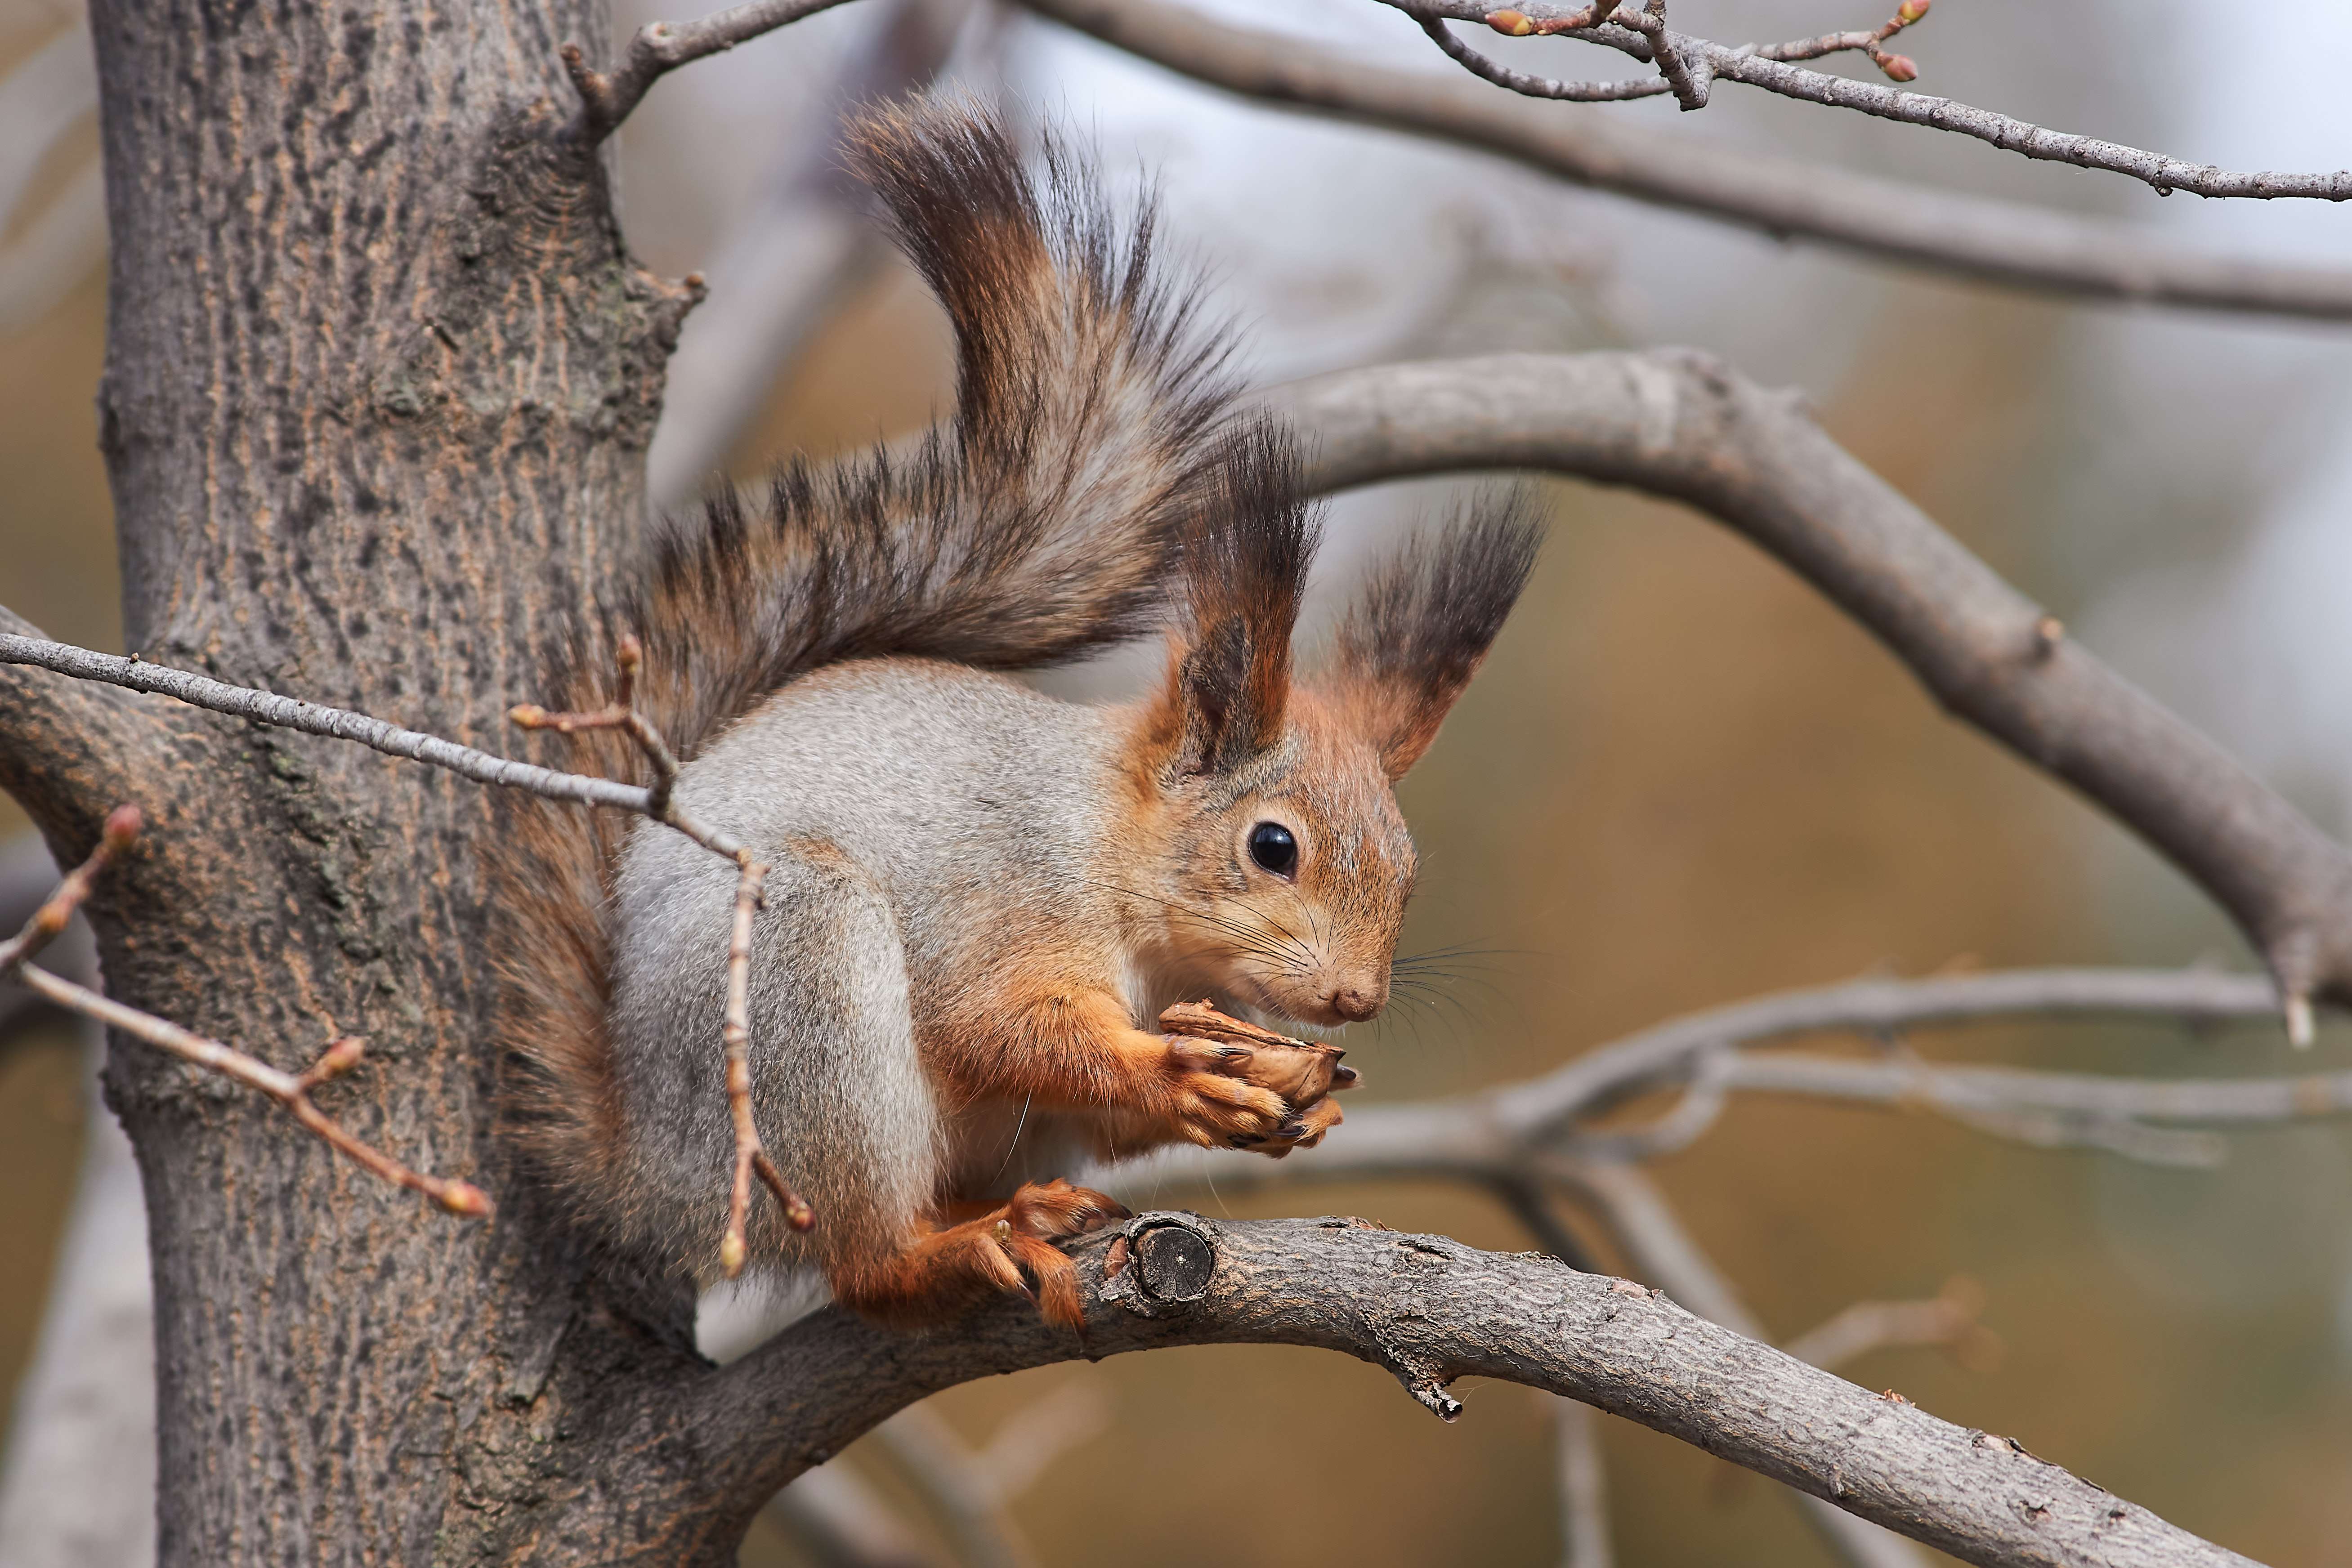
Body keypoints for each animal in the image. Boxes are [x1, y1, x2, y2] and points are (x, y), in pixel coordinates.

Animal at [487, 98, 1533, 1335]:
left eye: (1408, 873)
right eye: (1272, 847)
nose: (1355, 1000)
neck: (1114, 856)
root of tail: (652, 1185)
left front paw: (1294, 1100)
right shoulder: (1006, 893)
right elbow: (1003, 1024)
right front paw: (1171, 1072)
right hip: (797, 993)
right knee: (862, 1258)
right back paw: (961, 1243)